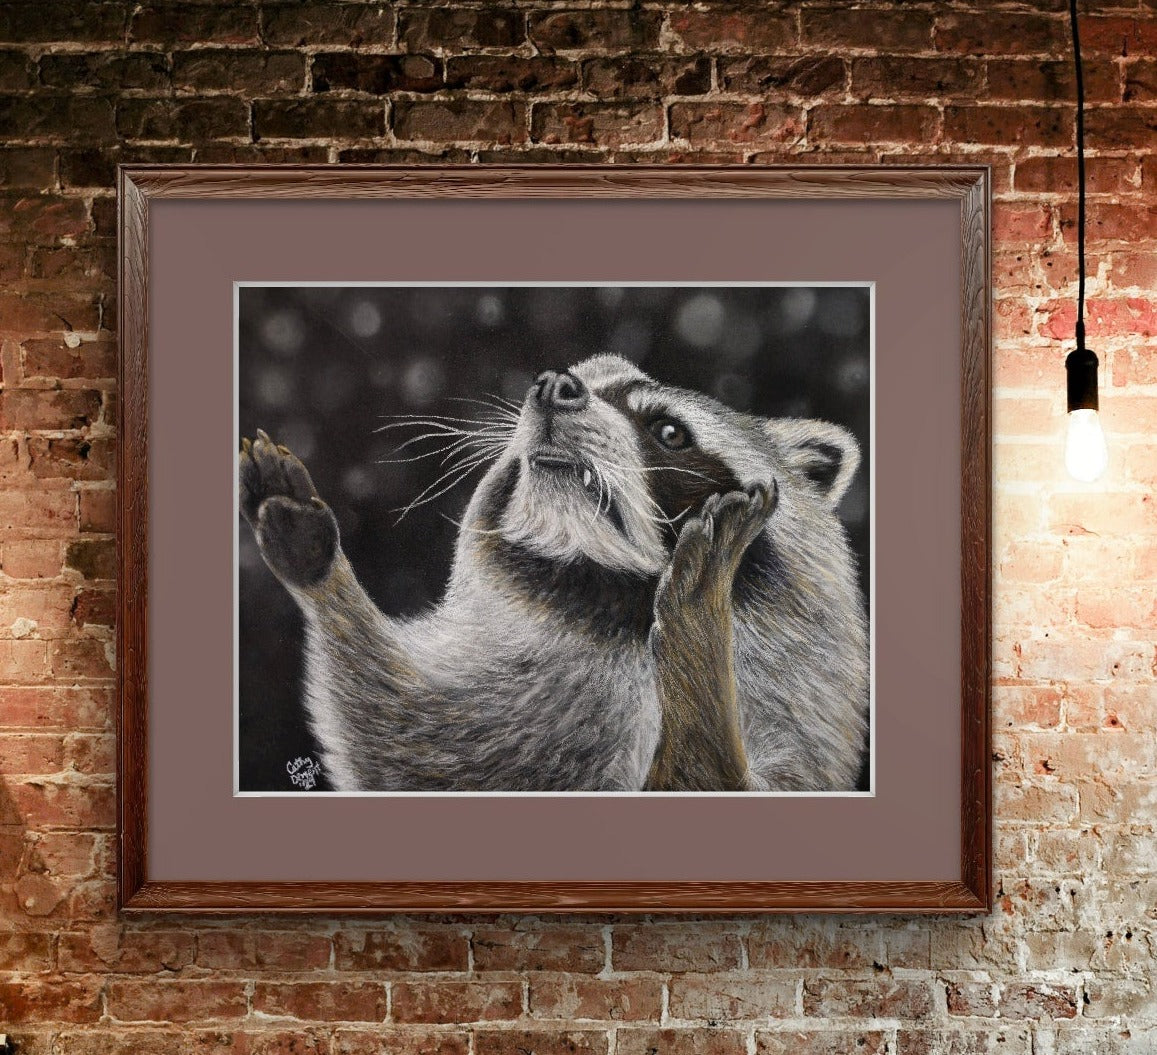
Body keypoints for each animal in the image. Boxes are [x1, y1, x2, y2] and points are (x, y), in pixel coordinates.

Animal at [239, 354, 869, 792]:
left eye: (669, 430)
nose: (553, 385)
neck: (610, 600)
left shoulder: (796, 734)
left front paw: (700, 629)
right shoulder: (492, 718)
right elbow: (395, 740)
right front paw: (322, 573)